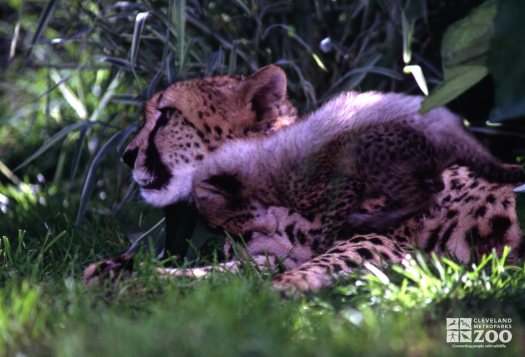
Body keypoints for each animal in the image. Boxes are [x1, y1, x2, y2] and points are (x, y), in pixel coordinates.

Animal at [84, 64, 520, 292]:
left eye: (166, 117)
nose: (126, 156)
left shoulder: (388, 237)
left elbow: (321, 262)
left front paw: (282, 290)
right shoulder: (264, 255)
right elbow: (220, 275)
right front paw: (124, 271)